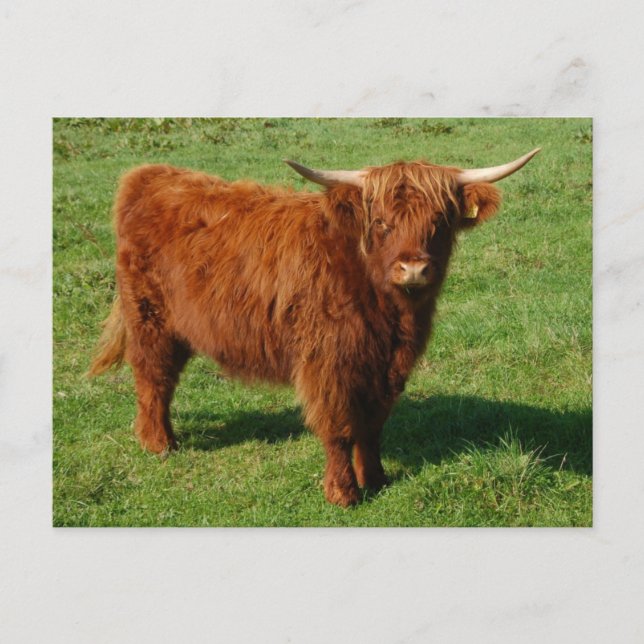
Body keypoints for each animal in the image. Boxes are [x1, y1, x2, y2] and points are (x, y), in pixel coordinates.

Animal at [89, 147, 540, 506]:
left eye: (441, 221)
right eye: (381, 223)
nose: (414, 269)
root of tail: (150, 174)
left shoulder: (386, 366)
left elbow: (372, 424)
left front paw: (376, 478)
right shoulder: (327, 363)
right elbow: (339, 427)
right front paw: (343, 492)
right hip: (150, 317)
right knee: (154, 379)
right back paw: (159, 443)